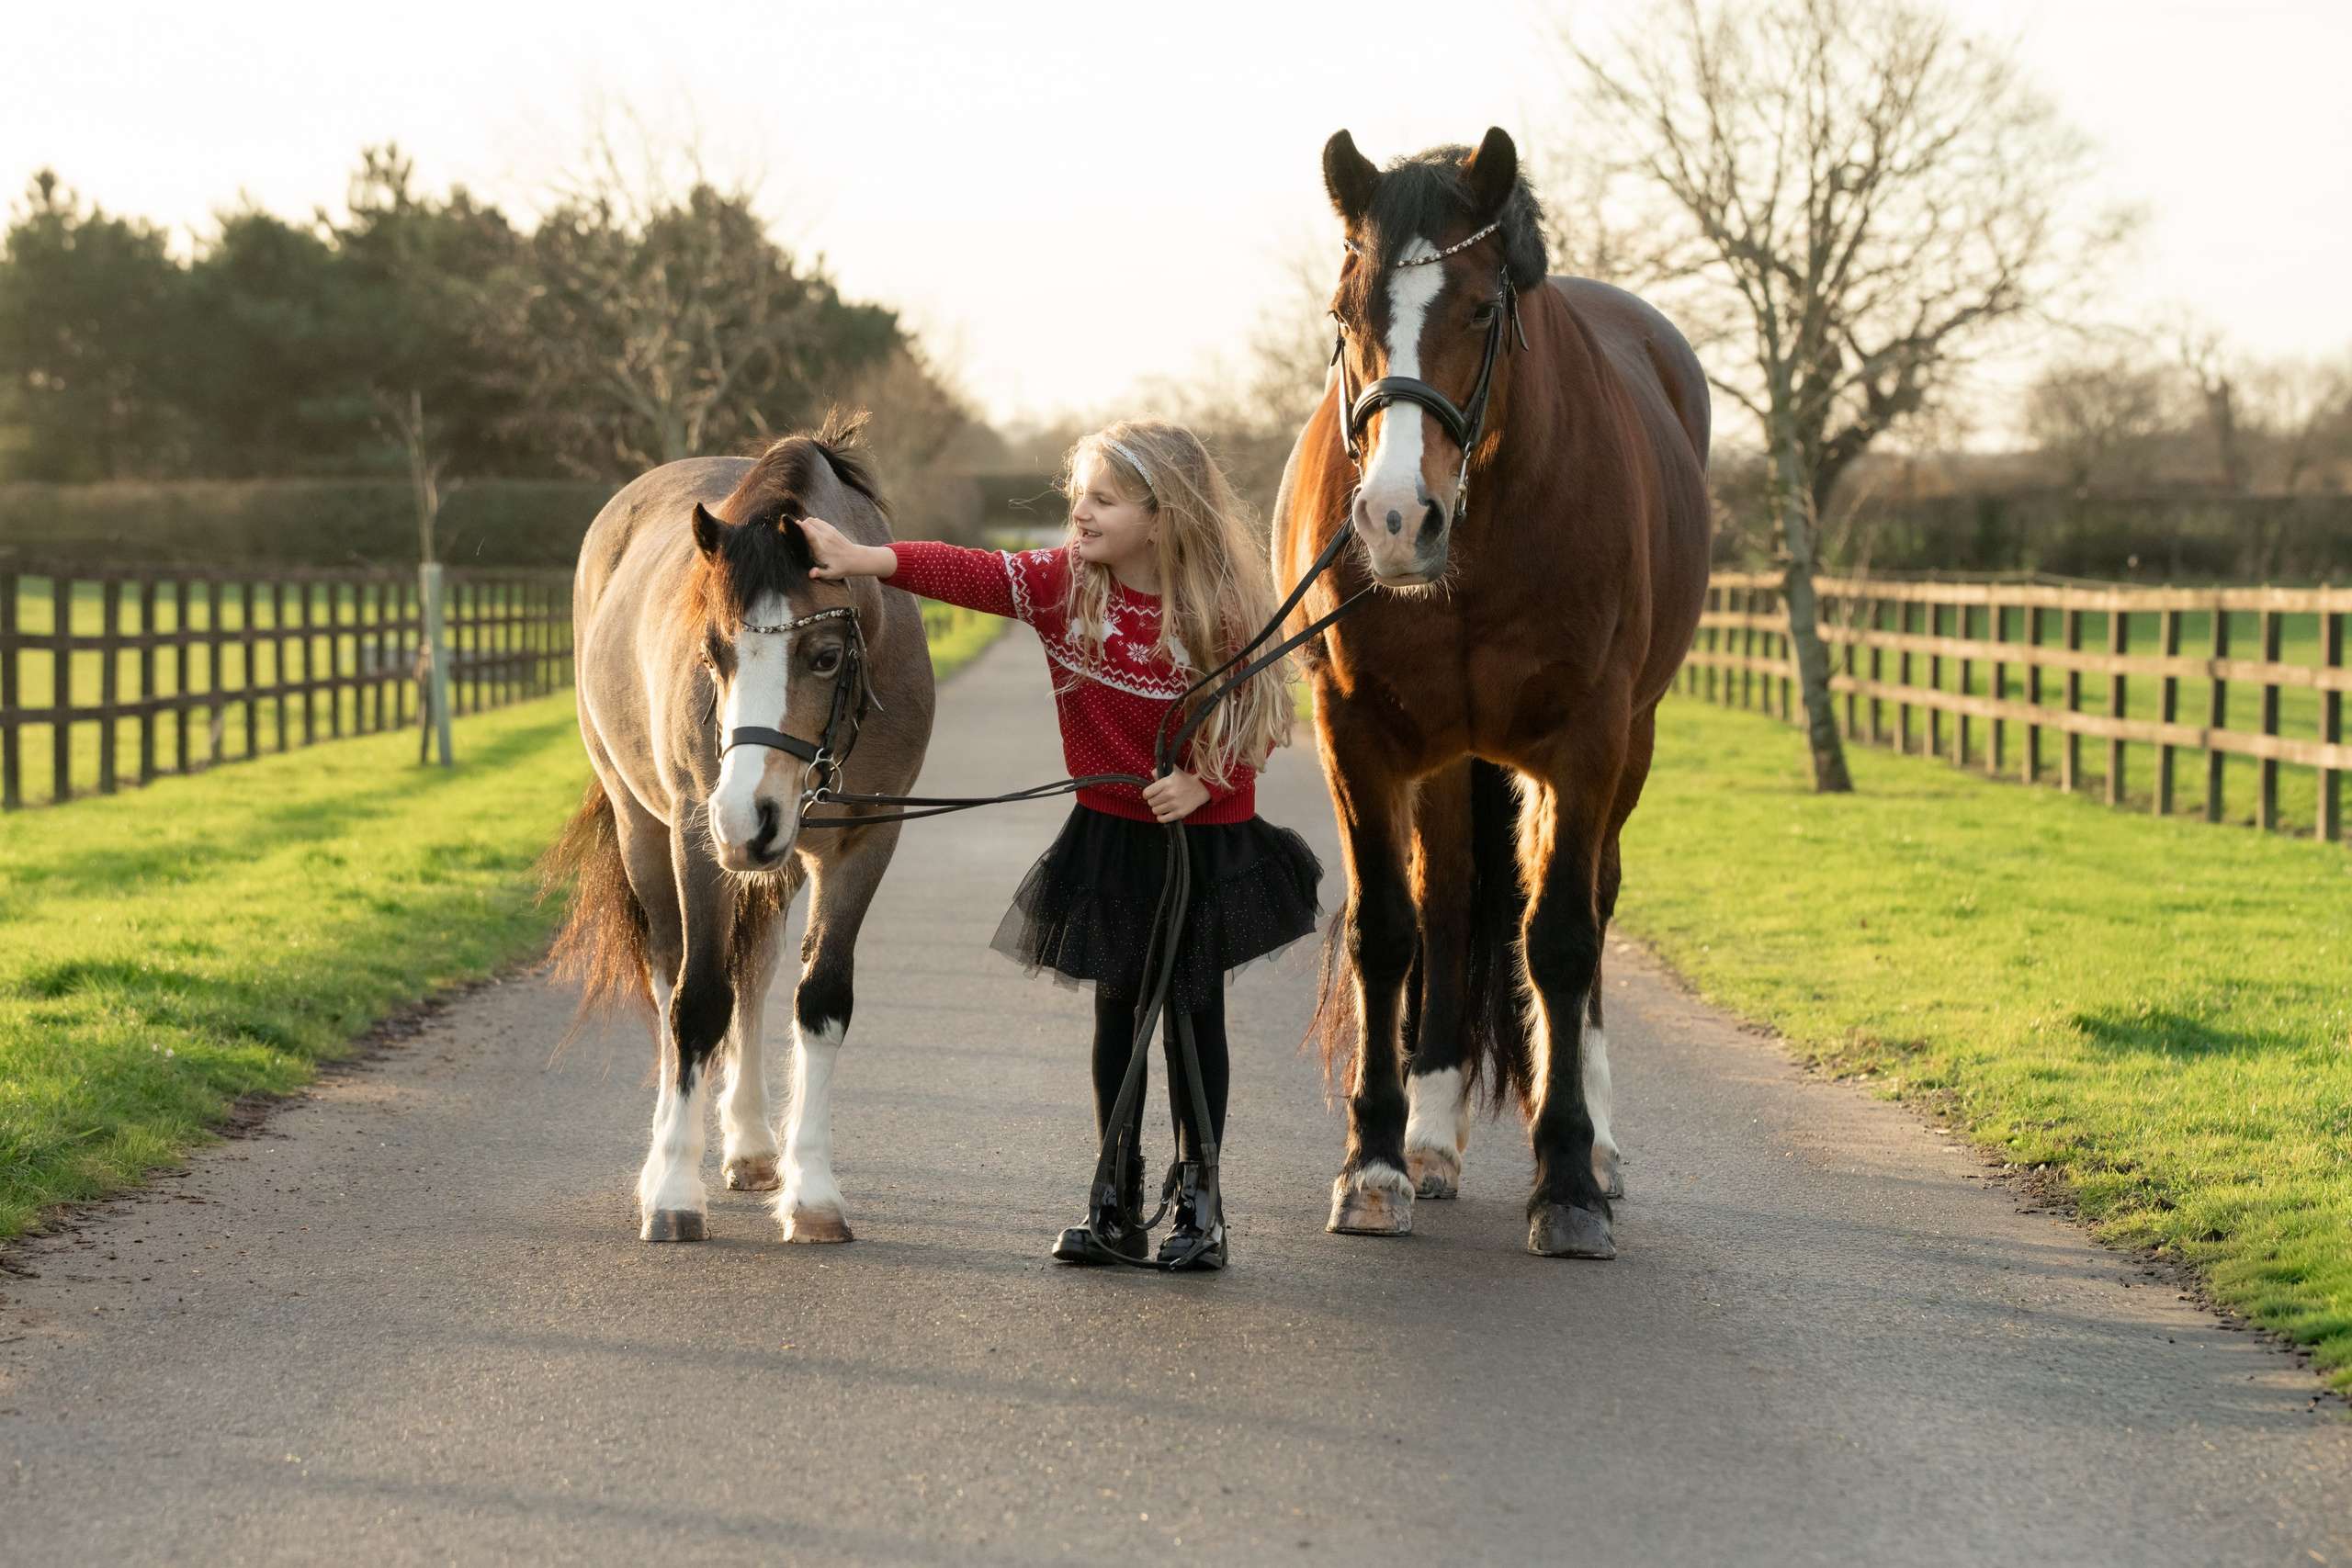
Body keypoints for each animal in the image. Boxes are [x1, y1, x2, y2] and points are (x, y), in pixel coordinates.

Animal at [545, 415, 935, 1244]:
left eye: (824, 655)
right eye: (713, 651)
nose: (744, 813)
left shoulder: (865, 843)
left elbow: (820, 999)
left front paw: (813, 1191)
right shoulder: (700, 841)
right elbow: (696, 1002)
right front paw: (672, 1192)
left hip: (770, 859)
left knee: (751, 973)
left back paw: (755, 1144)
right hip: (648, 831)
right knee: (674, 977)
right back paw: (667, 1157)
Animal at [1275, 128, 1711, 1259]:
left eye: (1479, 309)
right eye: (1345, 312)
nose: (1394, 519)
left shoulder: (1588, 741)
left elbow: (1559, 938)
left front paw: (1567, 1180)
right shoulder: (1359, 735)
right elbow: (1390, 930)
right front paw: (1374, 1164)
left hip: (1628, 747)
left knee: (1591, 904)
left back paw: (1599, 1143)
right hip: (1445, 758)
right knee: (1446, 904)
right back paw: (1429, 1137)